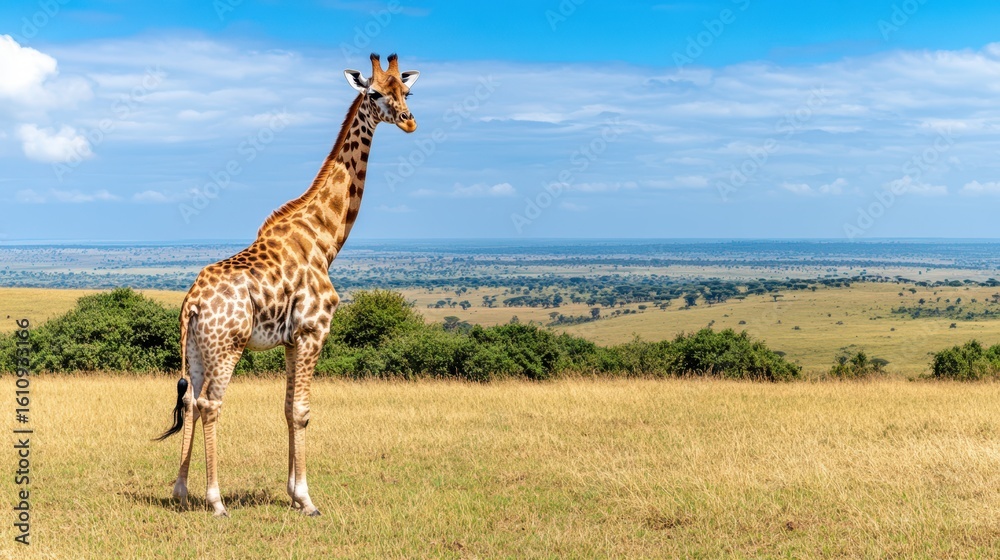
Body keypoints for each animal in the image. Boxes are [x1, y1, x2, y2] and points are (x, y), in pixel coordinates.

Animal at [156, 53, 419, 517]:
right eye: (374, 93)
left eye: (405, 91)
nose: (409, 122)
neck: (325, 238)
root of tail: (191, 303)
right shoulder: (314, 330)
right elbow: (302, 410)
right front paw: (307, 499)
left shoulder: (292, 339)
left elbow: (286, 408)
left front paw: (294, 494)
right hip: (227, 347)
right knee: (210, 403)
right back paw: (216, 500)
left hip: (197, 349)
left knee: (189, 400)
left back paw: (182, 490)